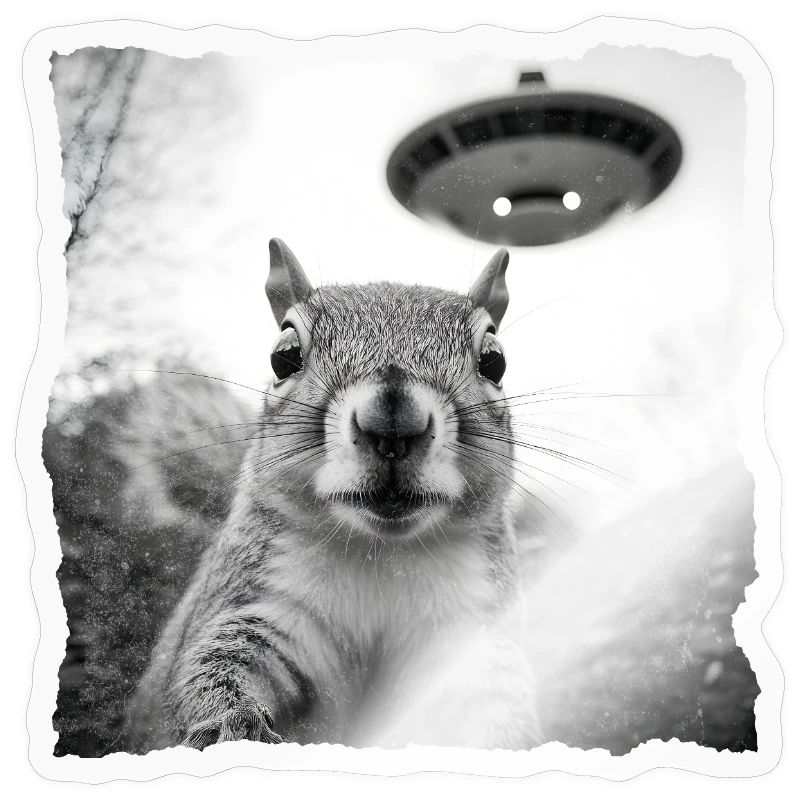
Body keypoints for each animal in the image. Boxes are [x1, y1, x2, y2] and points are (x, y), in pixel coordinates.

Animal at [127, 239, 541, 751]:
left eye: (494, 360)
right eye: (283, 356)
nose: (393, 421)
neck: (383, 554)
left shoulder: (472, 631)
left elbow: (495, 703)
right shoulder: (264, 600)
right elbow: (217, 663)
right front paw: (231, 727)